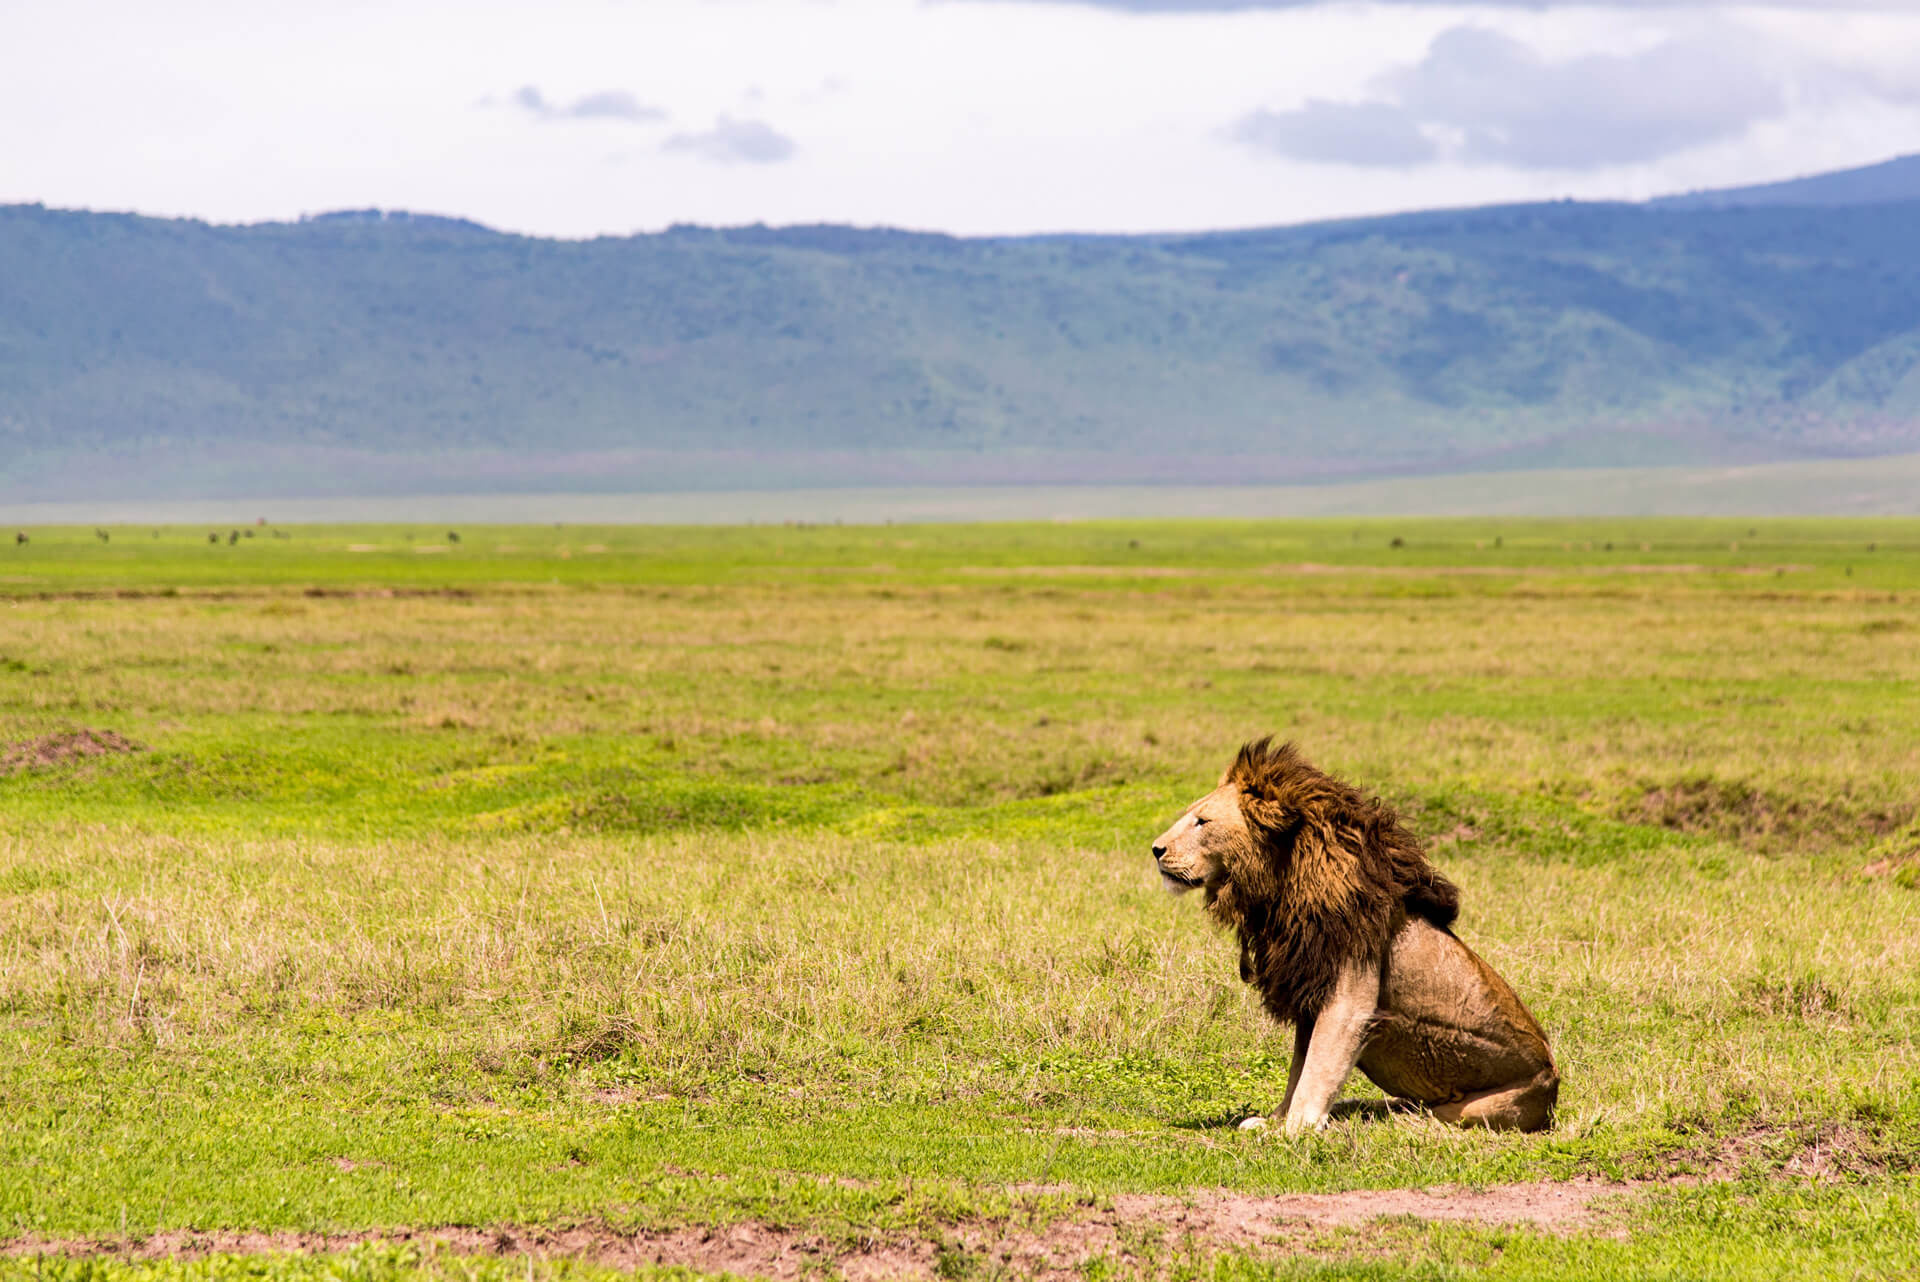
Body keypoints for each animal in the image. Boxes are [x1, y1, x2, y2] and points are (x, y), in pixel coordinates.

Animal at [1144, 736, 1551, 1136]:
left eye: (1202, 821)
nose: (1155, 849)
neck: (1282, 887)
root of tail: (1553, 1088)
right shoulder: (1308, 993)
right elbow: (1299, 1069)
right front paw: (1276, 1120)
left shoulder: (1347, 998)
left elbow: (1317, 1069)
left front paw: (1293, 1130)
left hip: (1476, 1108)